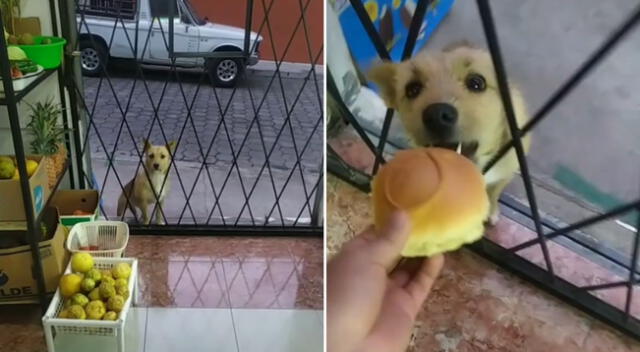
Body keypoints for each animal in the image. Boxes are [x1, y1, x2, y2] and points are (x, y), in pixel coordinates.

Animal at [368, 44, 532, 226]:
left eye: (476, 83)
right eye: (412, 89)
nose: (437, 116)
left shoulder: (505, 173)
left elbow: (494, 192)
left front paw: (491, 210)